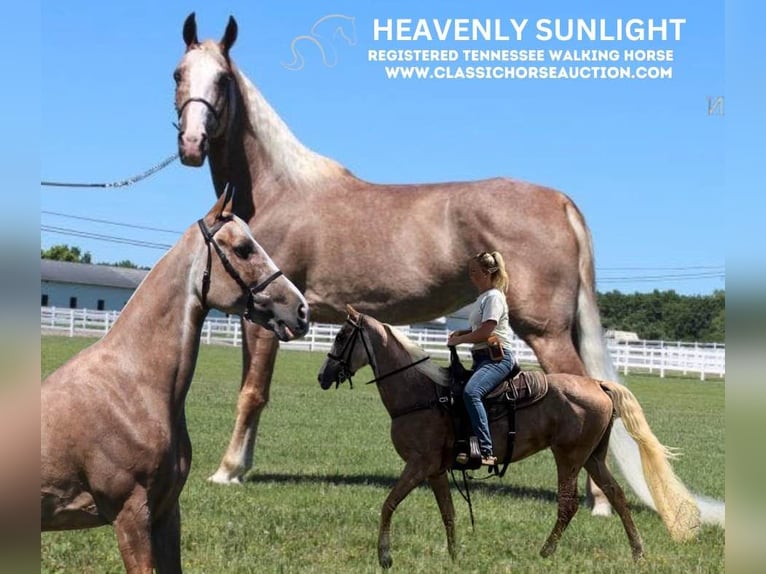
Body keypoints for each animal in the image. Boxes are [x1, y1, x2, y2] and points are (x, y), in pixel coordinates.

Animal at [170, 11, 728, 528]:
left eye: (222, 78)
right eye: (178, 73)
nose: (191, 145)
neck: (282, 189)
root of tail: (561, 200)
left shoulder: (268, 318)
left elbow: (252, 392)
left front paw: (227, 470)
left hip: (545, 331)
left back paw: (599, 502)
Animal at [318, 308, 704, 568]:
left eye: (341, 336)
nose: (323, 376)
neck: (422, 393)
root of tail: (597, 383)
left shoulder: (418, 465)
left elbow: (388, 503)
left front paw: (384, 556)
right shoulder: (436, 470)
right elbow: (449, 513)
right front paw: (454, 555)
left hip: (568, 456)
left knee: (568, 504)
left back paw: (546, 552)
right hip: (593, 457)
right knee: (618, 496)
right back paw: (637, 552)